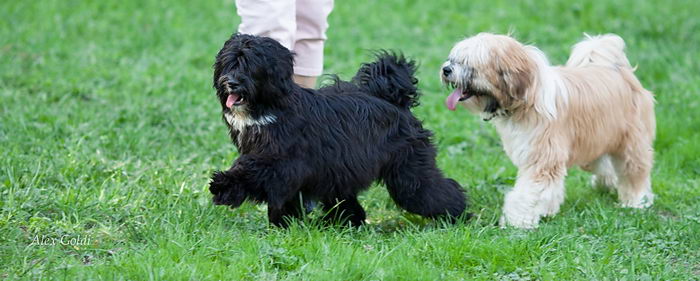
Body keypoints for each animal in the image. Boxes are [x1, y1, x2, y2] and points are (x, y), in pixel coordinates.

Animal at [211, 33, 468, 225]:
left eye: (250, 65)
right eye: (229, 63)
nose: (230, 82)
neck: (269, 108)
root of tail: (396, 101)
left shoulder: (282, 161)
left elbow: (252, 171)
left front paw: (223, 185)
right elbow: (282, 195)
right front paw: (284, 223)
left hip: (408, 168)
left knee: (430, 190)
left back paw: (457, 213)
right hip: (342, 168)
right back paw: (346, 221)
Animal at [442, 32, 656, 228]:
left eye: (469, 64)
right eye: (454, 59)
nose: (445, 69)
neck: (527, 100)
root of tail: (621, 72)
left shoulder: (543, 156)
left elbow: (529, 192)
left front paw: (517, 221)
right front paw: (543, 211)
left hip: (631, 142)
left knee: (634, 170)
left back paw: (636, 201)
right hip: (596, 140)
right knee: (603, 164)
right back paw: (605, 184)